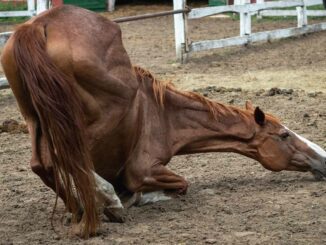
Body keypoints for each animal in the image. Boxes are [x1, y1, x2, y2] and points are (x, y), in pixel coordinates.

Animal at [2, 4, 326, 237]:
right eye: (284, 134)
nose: (321, 158)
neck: (164, 113)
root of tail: (39, 25)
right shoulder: (143, 169)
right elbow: (181, 185)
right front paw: (135, 197)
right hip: (93, 116)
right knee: (67, 157)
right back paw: (106, 205)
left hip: (35, 118)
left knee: (43, 164)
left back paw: (83, 209)